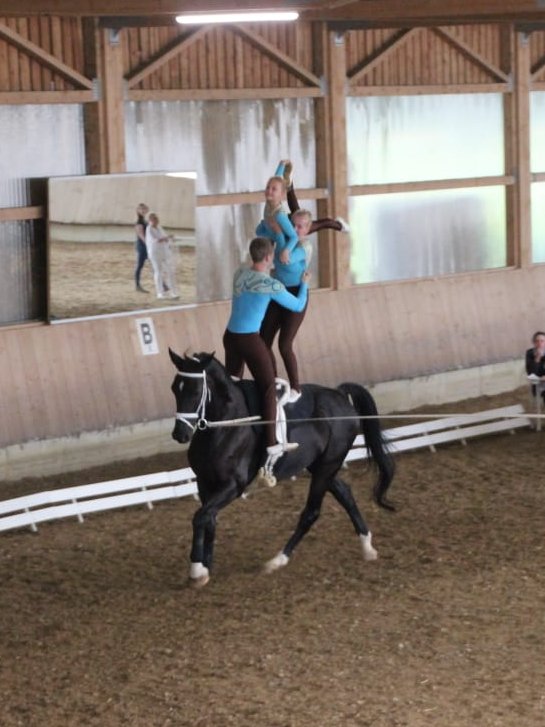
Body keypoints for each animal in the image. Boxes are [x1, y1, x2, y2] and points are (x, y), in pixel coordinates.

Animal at [168, 348, 394, 584]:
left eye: (195, 391)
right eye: (175, 388)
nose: (179, 434)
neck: (226, 427)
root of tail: (339, 395)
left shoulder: (233, 486)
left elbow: (200, 517)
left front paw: (197, 570)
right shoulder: (204, 482)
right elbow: (209, 518)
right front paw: (206, 566)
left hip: (327, 465)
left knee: (311, 512)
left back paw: (277, 560)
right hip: (319, 466)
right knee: (345, 493)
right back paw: (367, 546)